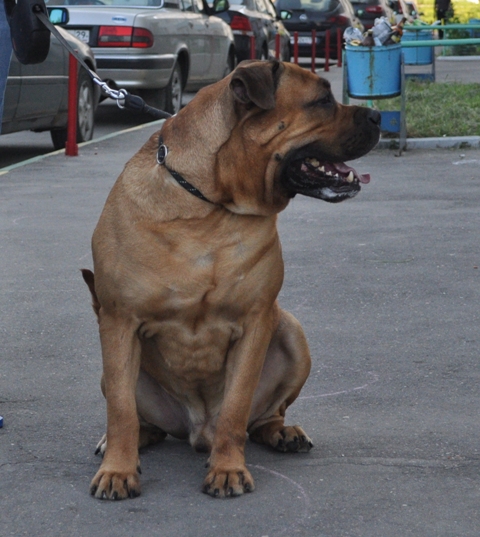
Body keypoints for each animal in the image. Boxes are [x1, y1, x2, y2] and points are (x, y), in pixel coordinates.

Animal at [82, 60, 380, 500]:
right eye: (322, 100)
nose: (378, 116)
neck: (212, 206)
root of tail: (196, 430)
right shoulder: (118, 320)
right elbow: (120, 410)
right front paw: (117, 471)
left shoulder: (255, 322)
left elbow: (237, 408)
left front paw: (227, 469)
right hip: (114, 366)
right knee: (138, 418)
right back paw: (130, 441)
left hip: (291, 331)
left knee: (263, 416)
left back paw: (281, 432)